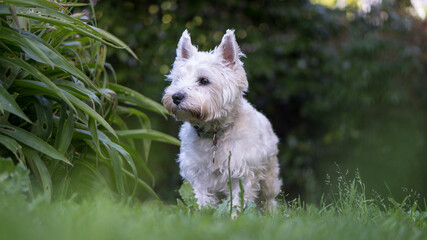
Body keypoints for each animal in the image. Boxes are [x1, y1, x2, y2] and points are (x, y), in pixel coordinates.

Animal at [162, 29, 282, 211]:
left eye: (204, 80)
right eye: (178, 79)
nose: (176, 97)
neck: (214, 133)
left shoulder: (242, 173)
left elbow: (238, 201)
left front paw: (235, 216)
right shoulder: (197, 174)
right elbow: (201, 199)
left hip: (269, 176)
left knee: (268, 199)